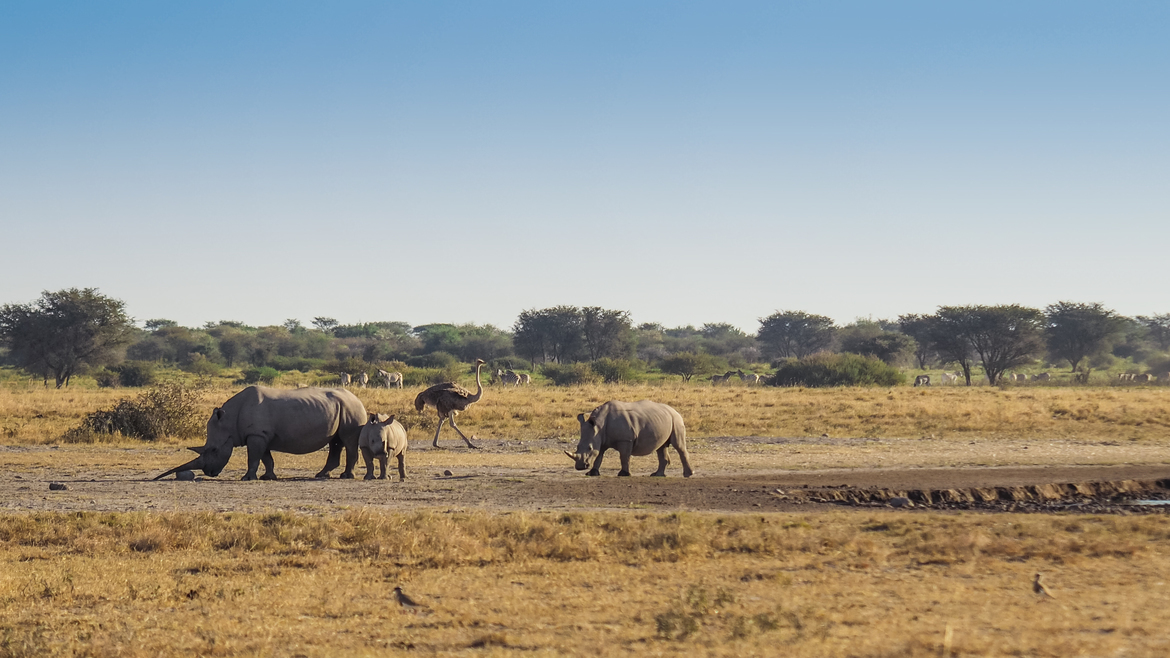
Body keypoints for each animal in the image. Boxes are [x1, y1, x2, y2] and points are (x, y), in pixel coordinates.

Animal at [153, 386, 367, 481]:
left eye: (213, 450)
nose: (209, 473)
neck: (229, 419)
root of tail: (356, 397)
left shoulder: (256, 435)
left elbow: (254, 458)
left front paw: (247, 478)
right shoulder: (260, 435)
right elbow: (266, 458)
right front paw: (268, 477)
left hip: (352, 408)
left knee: (348, 440)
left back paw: (346, 476)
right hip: (340, 407)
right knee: (336, 442)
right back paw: (321, 475)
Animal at [564, 400, 693, 477]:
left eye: (589, 448)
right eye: (577, 446)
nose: (580, 467)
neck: (599, 424)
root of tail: (674, 410)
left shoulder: (625, 440)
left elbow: (624, 456)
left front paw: (623, 474)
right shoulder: (601, 440)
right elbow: (599, 457)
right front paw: (592, 473)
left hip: (676, 419)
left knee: (679, 446)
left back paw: (688, 474)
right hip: (663, 420)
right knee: (661, 447)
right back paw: (657, 475)